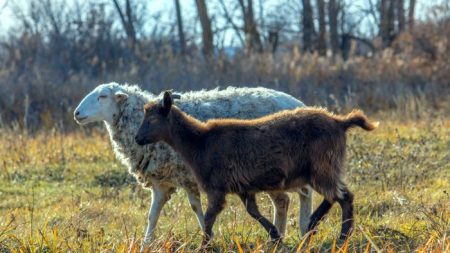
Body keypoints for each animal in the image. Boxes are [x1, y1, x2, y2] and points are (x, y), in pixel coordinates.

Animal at [74, 83, 312, 247]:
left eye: (102, 96)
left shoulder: (187, 175)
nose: (76, 113)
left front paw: (208, 238)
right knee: (283, 201)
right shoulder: (164, 181)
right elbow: (155, 214)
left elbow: (198, 209)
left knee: (301, 195)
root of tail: (298, 103)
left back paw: (301, 230)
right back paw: (280, 237)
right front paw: (146, 243)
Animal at [134, 91, 380, 243]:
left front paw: (205, 244)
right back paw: (313, 224)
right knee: (335, 195)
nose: (137, 138)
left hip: (323, 167)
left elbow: (209, 218)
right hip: (324, 169)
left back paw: (341, 236)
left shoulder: (216, 188)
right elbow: (253, 212)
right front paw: (275, 236)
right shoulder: (243, 188)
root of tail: (340, 122)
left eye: (152, 120)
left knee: (344, 197)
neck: (199, 142)